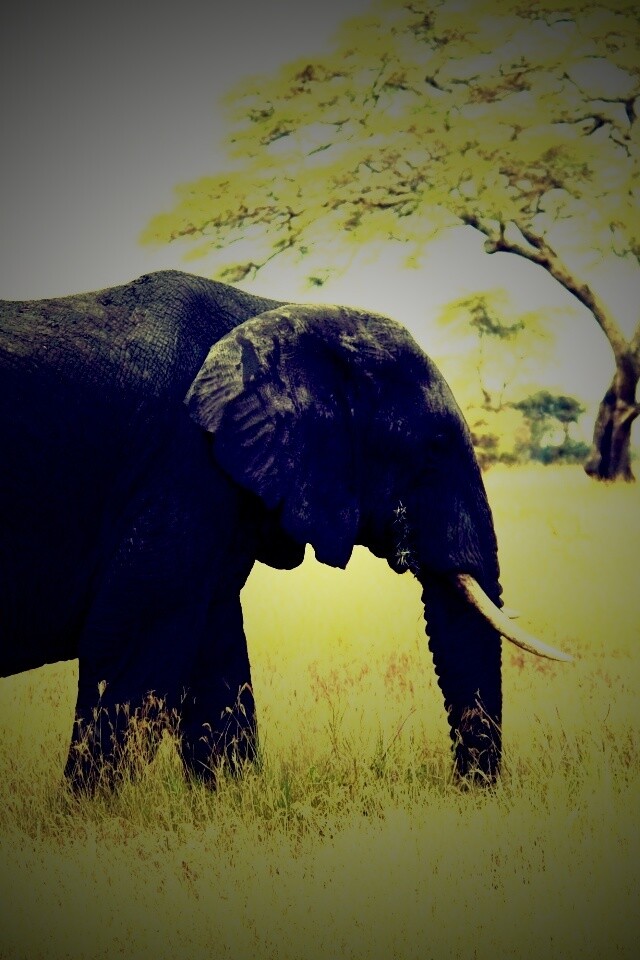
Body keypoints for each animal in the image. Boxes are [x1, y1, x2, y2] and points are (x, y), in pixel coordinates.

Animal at [0, 269, 570, 789]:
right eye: (432, 447)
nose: (468, 790)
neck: (278, 310)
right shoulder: (181, 468)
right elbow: (130, 643)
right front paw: (87, 813)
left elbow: (217, 657)